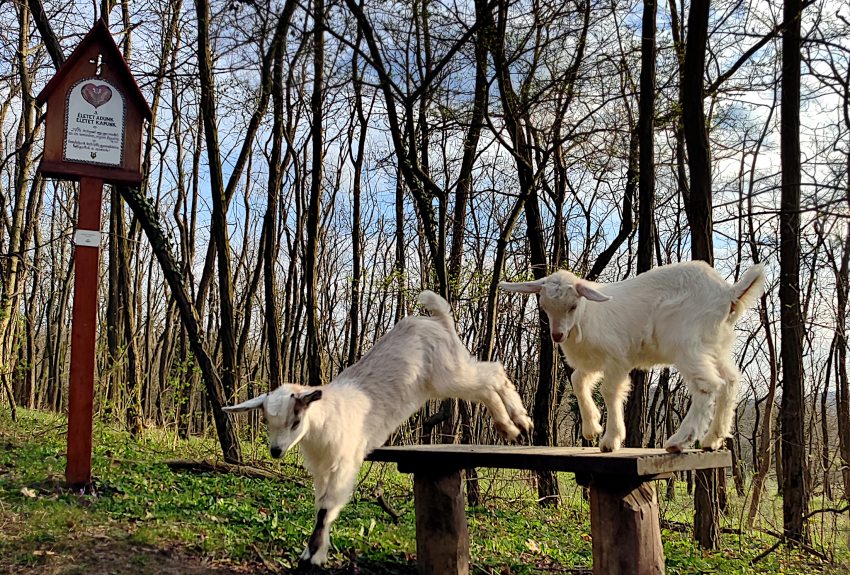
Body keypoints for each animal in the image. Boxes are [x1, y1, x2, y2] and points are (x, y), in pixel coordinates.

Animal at [222, 292, 532, 568]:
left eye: (295, 421)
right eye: (267, 422)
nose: (275, 451)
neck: (325, 420)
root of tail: (438, 320)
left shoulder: (344, 462)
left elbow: (326, 508)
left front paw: (311, 558)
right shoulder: (321, 470)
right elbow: (322, 506)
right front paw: (315, 552)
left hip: (449, 374)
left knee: (491, 377)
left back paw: (515, 424)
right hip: (448, 374)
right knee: (488, 377)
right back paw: (514, 424)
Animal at [496, 260, 760, 454]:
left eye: (573, 306)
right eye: (545, 306)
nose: (558, 335)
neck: (587, 316)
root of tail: (728, 293)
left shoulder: (617, 357)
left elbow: (610, 391)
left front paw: (610, 440)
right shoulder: (593, 361)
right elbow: (578, 381)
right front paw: (592, 427)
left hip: (687, 343)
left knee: (707, 385)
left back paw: (679, 441)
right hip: (716, 345)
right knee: (730, 381)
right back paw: (712, 439)